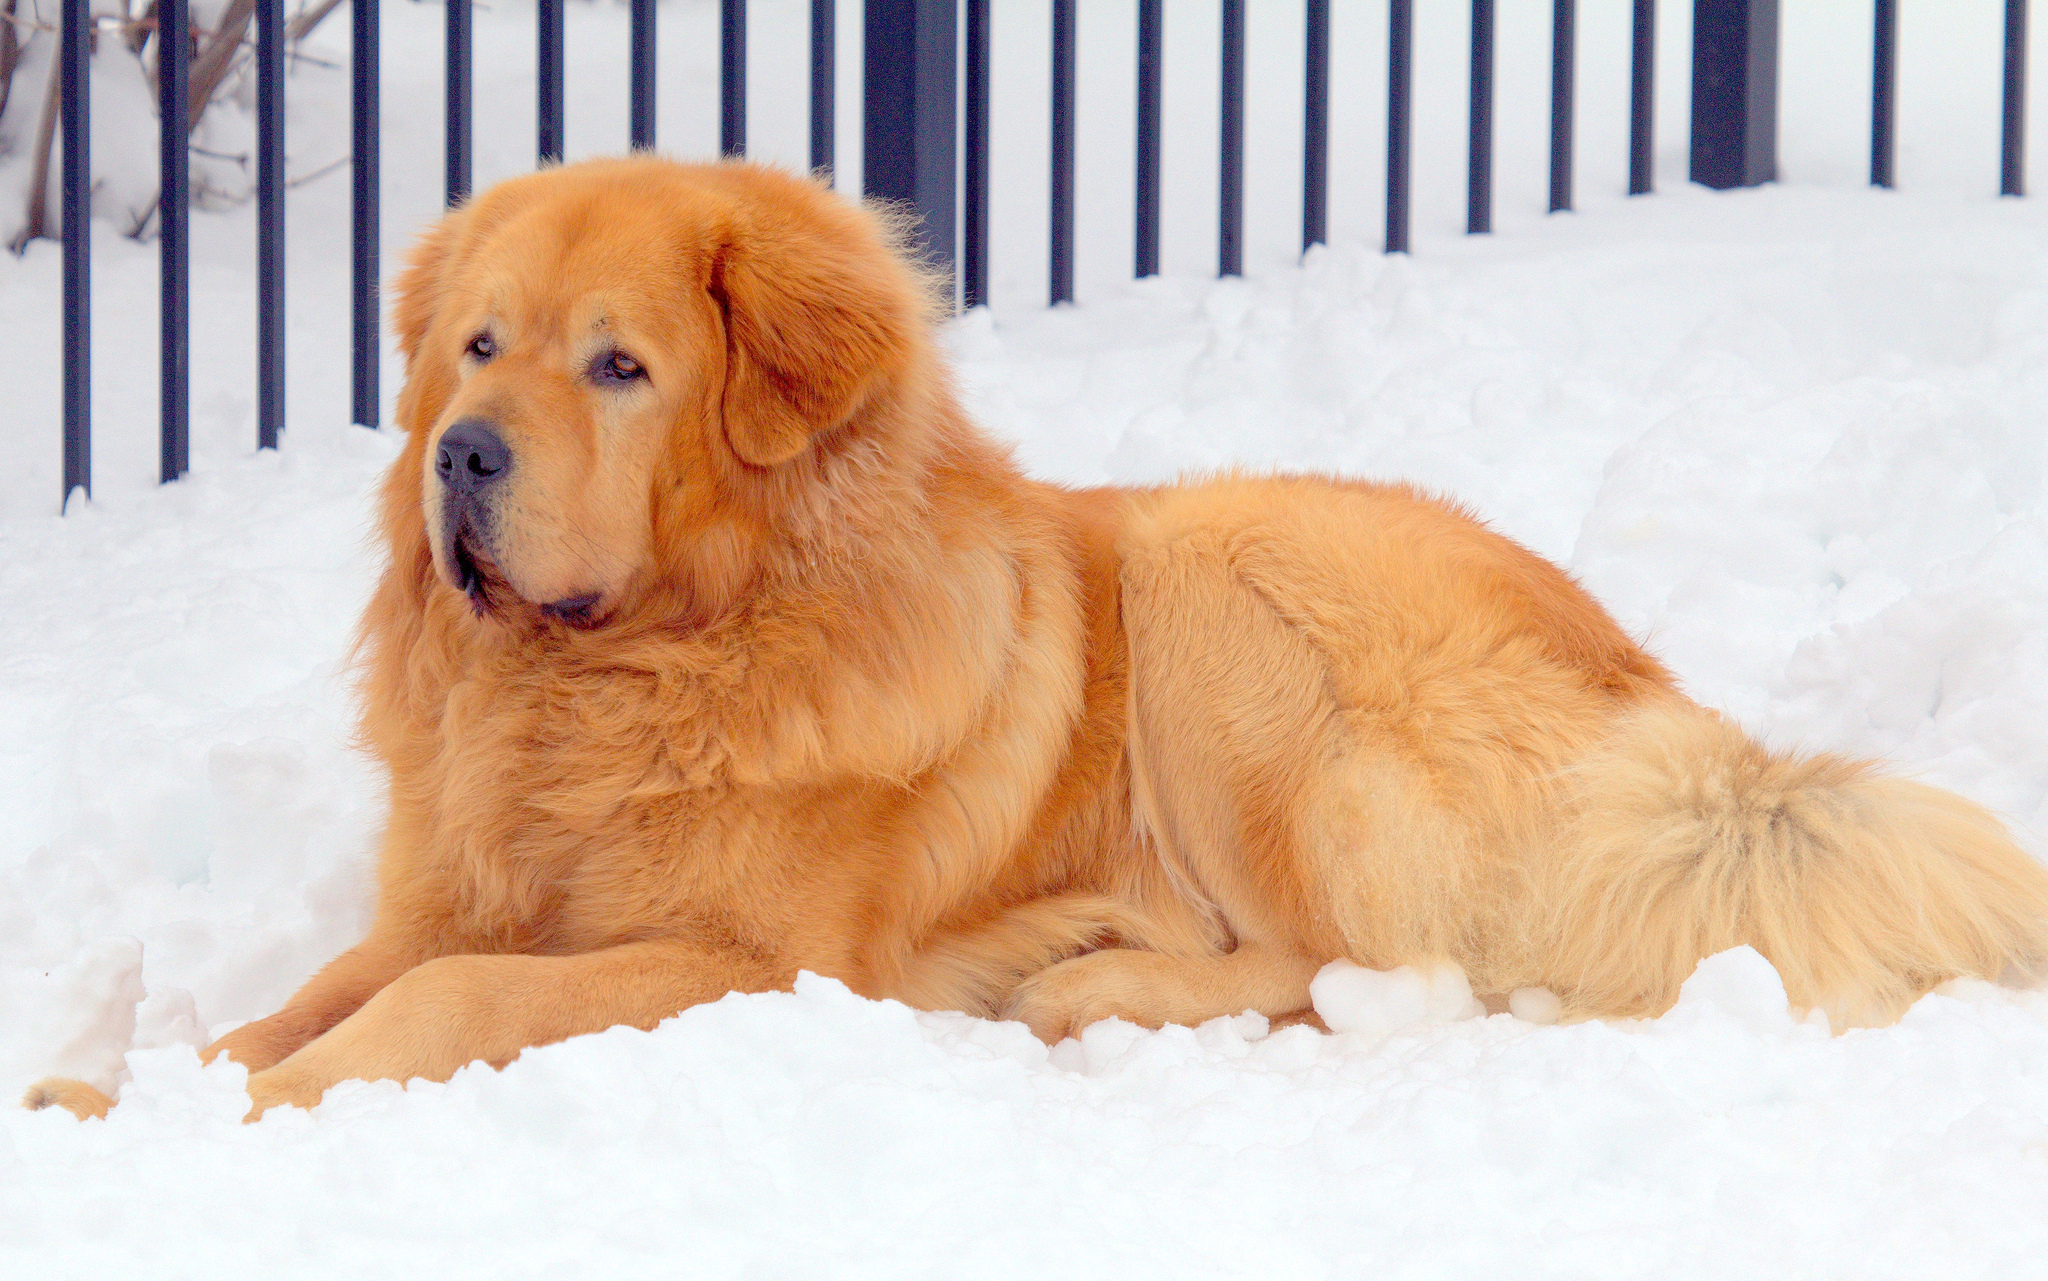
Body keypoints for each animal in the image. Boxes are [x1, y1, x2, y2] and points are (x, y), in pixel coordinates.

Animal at [28, 157, 2048, 1114]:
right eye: (475, 346)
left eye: (616, 365)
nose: (461, 451)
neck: (636, 671)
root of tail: (1671, 711)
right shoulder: (453, 893)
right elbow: (304, 996)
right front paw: (115, 1094)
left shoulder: (750, 963)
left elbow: (439, 1006)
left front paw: (251, 1110)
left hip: (1222, 582)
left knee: (1369, 970)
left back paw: (1089, 983)